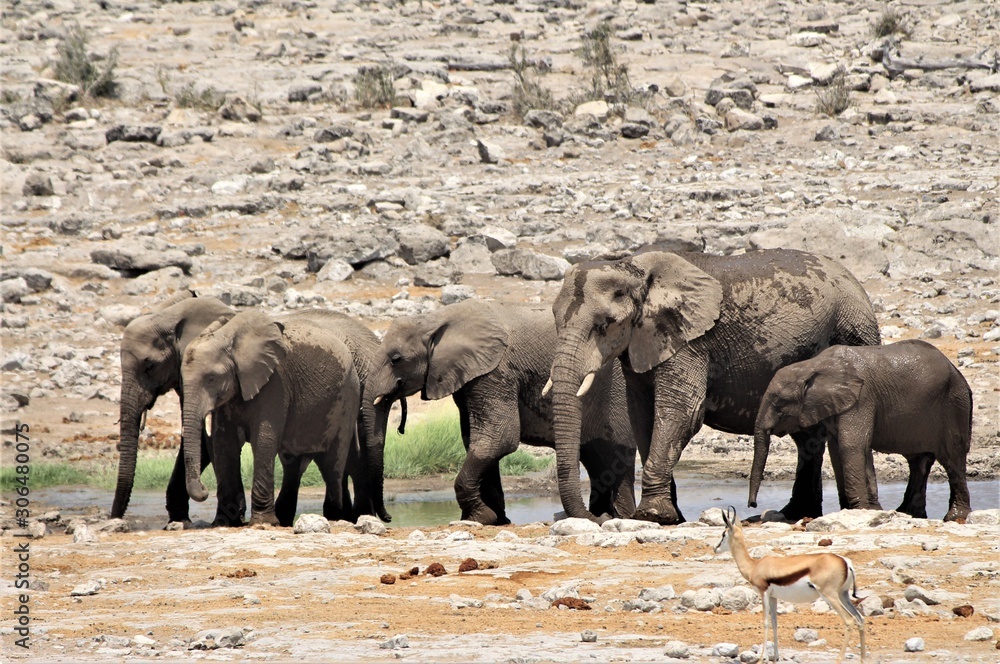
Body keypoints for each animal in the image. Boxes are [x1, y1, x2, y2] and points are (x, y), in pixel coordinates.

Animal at [180, 311, 361, 526]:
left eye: (211, 378)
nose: (204, 489)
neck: (231, 340)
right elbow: (224, 444)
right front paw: (223, 523)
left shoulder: (276, 383)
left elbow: (263, 439)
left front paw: (263, 522)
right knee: (293, 463)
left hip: (348, 398)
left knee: (332, 463)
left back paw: (334, 518)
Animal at [368, 299, 637, 526]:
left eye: (396, 359)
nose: (389, 519)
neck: (436, 318)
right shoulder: (469, 376)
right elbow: (477, 441)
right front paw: (494, 519)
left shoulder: (495, 371)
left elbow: (499, 438)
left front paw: (481, 517)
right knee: (596, 459)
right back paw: (606, 515)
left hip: (617, 394)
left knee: (616, 458)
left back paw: (619, 517)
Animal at [548, 248, 880, 525]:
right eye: (554, 319)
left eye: (605, 324)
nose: (598, 517)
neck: (635, 269)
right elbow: (642, 417)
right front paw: (672, 516)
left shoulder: (690, 342)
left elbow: (681, 412)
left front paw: (653, 515)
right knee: (807, 436)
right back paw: (796, 513)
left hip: (853, 330)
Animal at [749, 339, 973, 521]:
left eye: (779, 401)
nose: (752, 505)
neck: (812, 366)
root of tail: (956, 370)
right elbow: (838, 451)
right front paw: (864, 510)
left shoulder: (862, 398)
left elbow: (851, 446)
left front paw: (861, 509)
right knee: (919, 462)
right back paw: (908, 513)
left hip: (956, 403)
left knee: (953, 459)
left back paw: (955, 517)